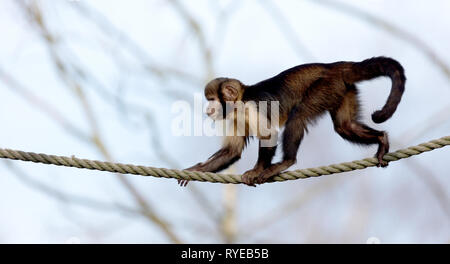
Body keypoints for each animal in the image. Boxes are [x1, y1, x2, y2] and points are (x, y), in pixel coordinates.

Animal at [178, 56, 404, 187]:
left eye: (212, 100)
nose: (208, 109)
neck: (240, 101)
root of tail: (333, 66)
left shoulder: (251, 107)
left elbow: (269, 135)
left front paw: (257, 170)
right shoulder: (235, 117)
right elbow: (231, 152)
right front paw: (196, 171)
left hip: (325, 86)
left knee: (299, 116)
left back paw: (286, 162)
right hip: (341, 88)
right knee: (344, 126)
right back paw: (382, 139)